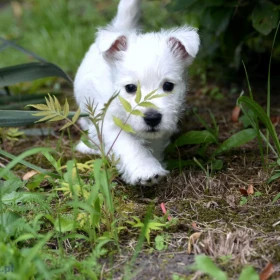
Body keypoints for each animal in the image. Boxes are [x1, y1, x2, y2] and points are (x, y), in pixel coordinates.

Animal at [72, 0, 199, 186]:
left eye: (168, 85)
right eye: (130, 88)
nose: (152, 118)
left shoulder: (158, 132)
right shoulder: (109, 122)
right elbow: (129, 146)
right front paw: (145, 170)